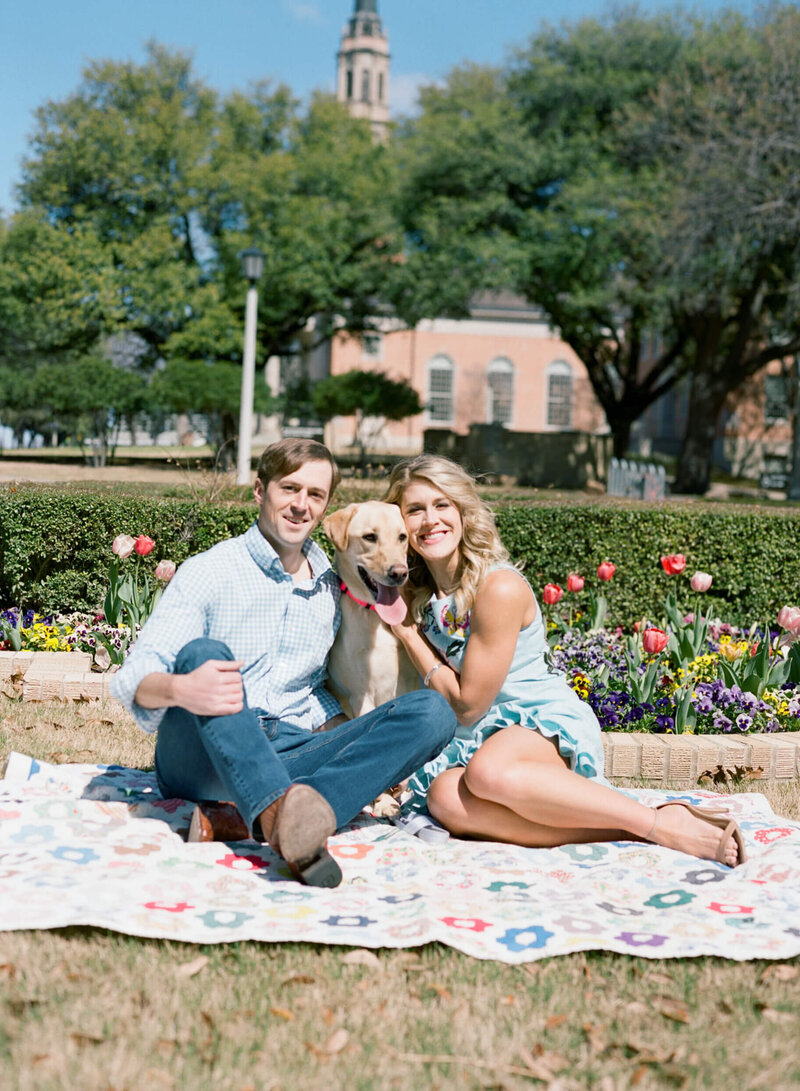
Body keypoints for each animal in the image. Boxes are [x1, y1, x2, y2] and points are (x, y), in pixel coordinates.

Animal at [320, 501, 419, 724]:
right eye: (370, 537)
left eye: (402, 537)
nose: (399, 573)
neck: (375, 616)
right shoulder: (362, 696)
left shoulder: (413, 683)